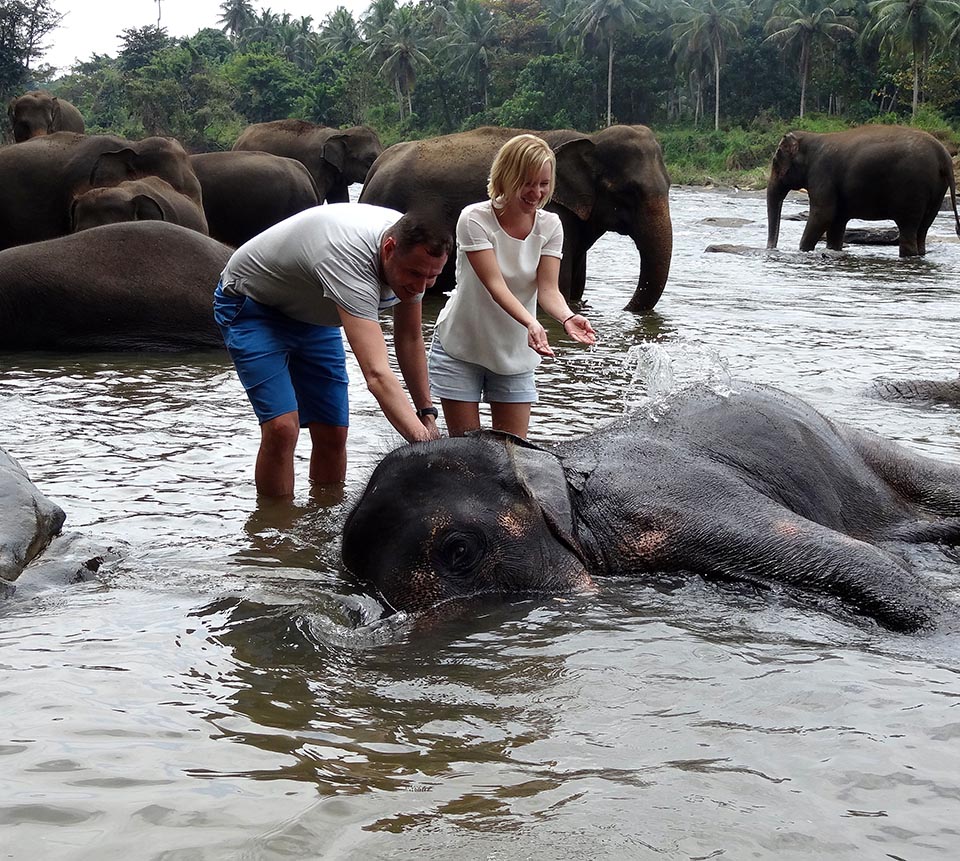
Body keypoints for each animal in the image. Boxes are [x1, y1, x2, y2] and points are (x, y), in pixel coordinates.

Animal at [358, 125, 673, 313]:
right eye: (628, 192)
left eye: (670, 185)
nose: (624, 310)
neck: (591, 137)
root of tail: (376, 168)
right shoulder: (556, 213)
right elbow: (556, 288)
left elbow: (573, 287)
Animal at [766, 125, 960, 257]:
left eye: (775, 162)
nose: (771, 249)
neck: (810, 137)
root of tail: (944, 155)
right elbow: (836, 221)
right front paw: (833, 250)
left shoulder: (822, 173)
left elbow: (823, 215)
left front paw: (803, 250)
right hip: (936, 191)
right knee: (923, 229)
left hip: (913, 188)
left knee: (908, 228)